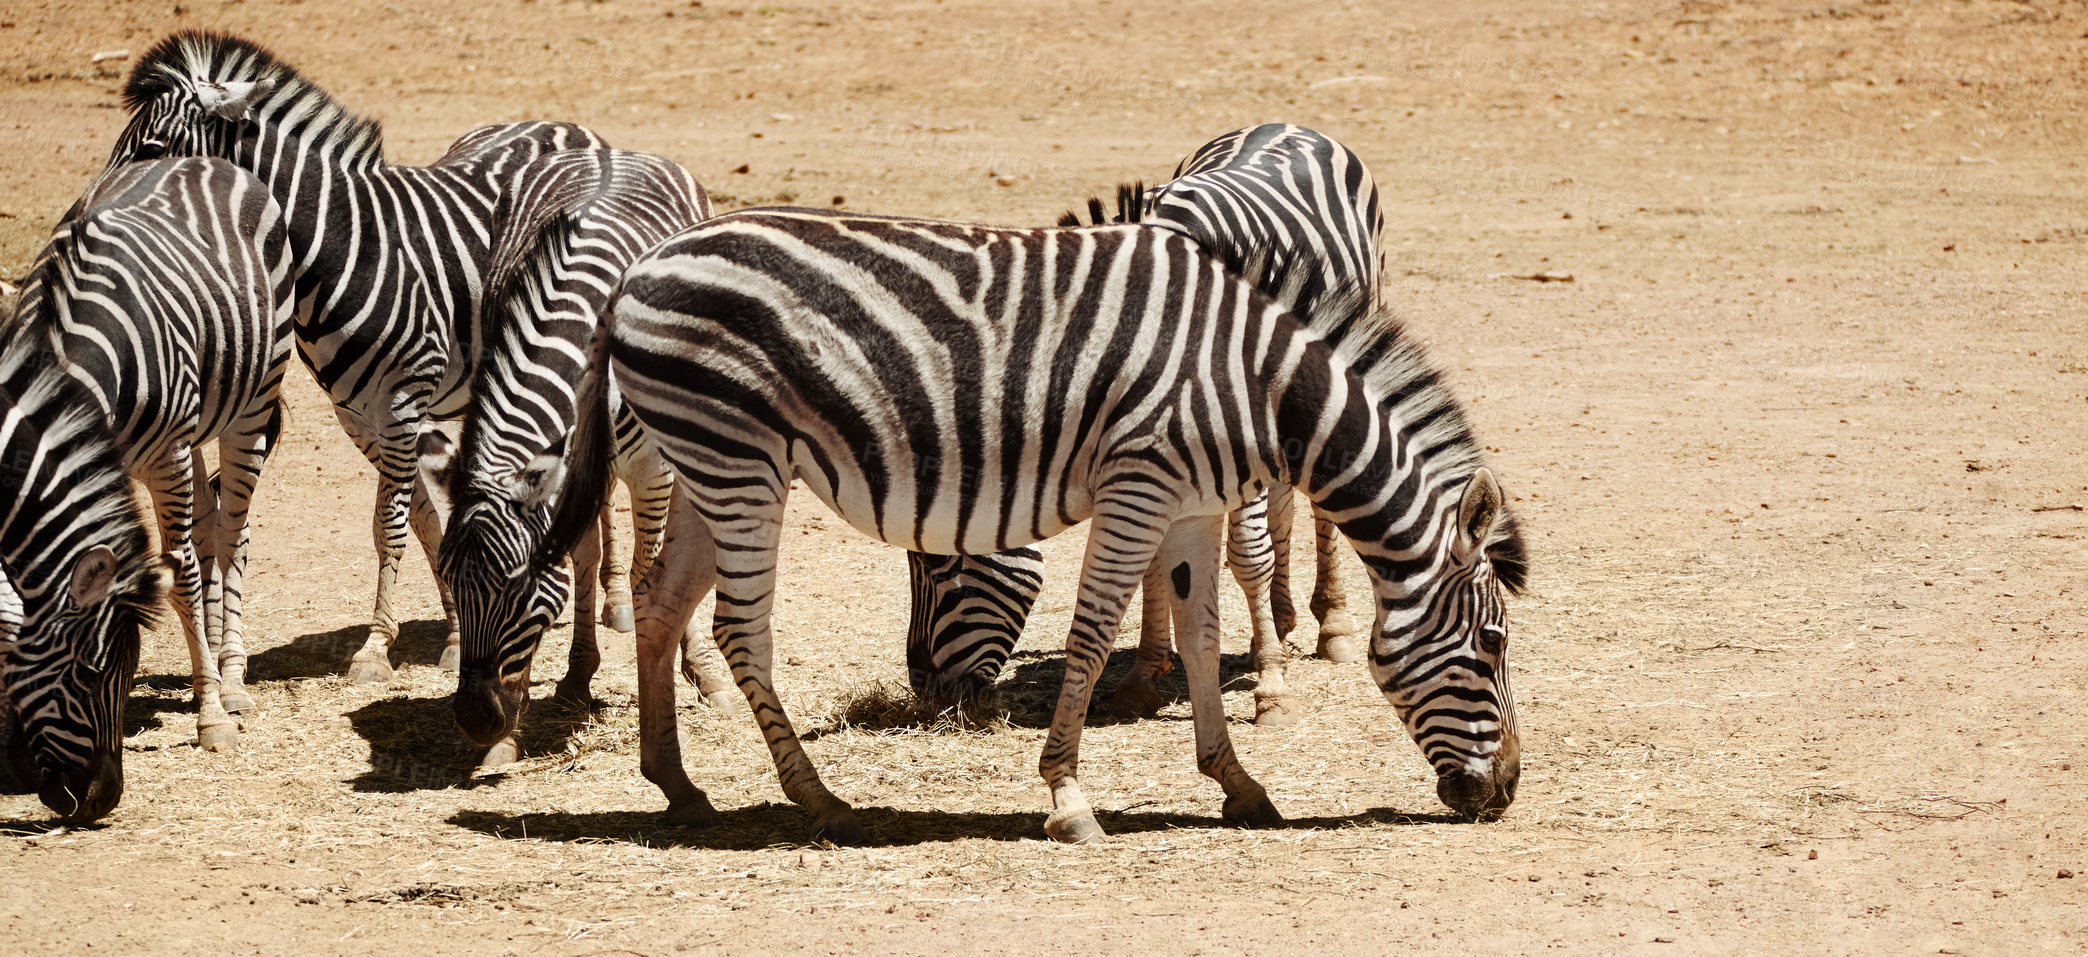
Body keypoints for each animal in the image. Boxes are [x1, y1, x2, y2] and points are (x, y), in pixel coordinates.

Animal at [3, 154, 294, 768]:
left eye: (88, 670)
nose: (24, 763)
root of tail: (200, 157)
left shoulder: (166, 456)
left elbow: (180, 572)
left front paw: (212, 716)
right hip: (201, 421)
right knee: (209, 522)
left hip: (250, 405)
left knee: (231, 535)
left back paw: (231, 680)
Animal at [77, 33, 655, 685]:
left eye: (151, 150)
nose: (92, 216)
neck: (342, 247)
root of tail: (567, 126)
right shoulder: (356, 412)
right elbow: (424, 520)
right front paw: (454, 634)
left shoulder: (403, 399)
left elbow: (389, 525)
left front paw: (375, 647)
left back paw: (615, 599)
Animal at [432, 154, 734, 768]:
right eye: (448, 580)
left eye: (517, 587)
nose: (474, 721)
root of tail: (618, 154)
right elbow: (581, 558)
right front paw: (558, 690)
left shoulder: (652, 470)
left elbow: (652, 570)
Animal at [534, 208, 1520, 844]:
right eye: (1495, 644)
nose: (1504, 791)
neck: (1261, 388)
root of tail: (641, 267)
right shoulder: (1139, 485)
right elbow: (1090, 634)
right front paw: (1069, 798)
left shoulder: (1193, 507)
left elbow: (1203, 638)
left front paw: (1239, 782)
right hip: (739, 459)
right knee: (741, 627)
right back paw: (817, 797)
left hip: (711, 460)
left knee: (660, 602)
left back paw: (676, 783)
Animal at [910, 121, 1386, 727]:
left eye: (939, 566)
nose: (922, 686)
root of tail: (1285, 124)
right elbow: (1154, 557)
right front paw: (1143, 676)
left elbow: (1246, 556)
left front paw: (1272, 688)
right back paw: (1279, 619)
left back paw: (1332, 626)